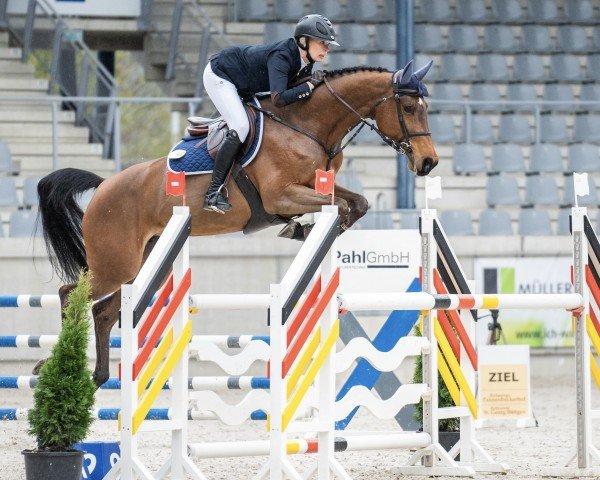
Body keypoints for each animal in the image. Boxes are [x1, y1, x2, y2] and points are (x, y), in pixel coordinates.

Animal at [38, 59, 440, 386]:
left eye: (426, 108)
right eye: (408, 107)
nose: (429, 163)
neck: (306, 126)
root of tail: (104, 185)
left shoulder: (315, 185)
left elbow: (357, 203)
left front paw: (306, 230)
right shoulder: (280, 196)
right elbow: (338, 205)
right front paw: (303, 229)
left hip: (141, 263)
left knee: (103, 311)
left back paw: (98, 375)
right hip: (115, 263)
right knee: (69, 295)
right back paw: (55, 364)